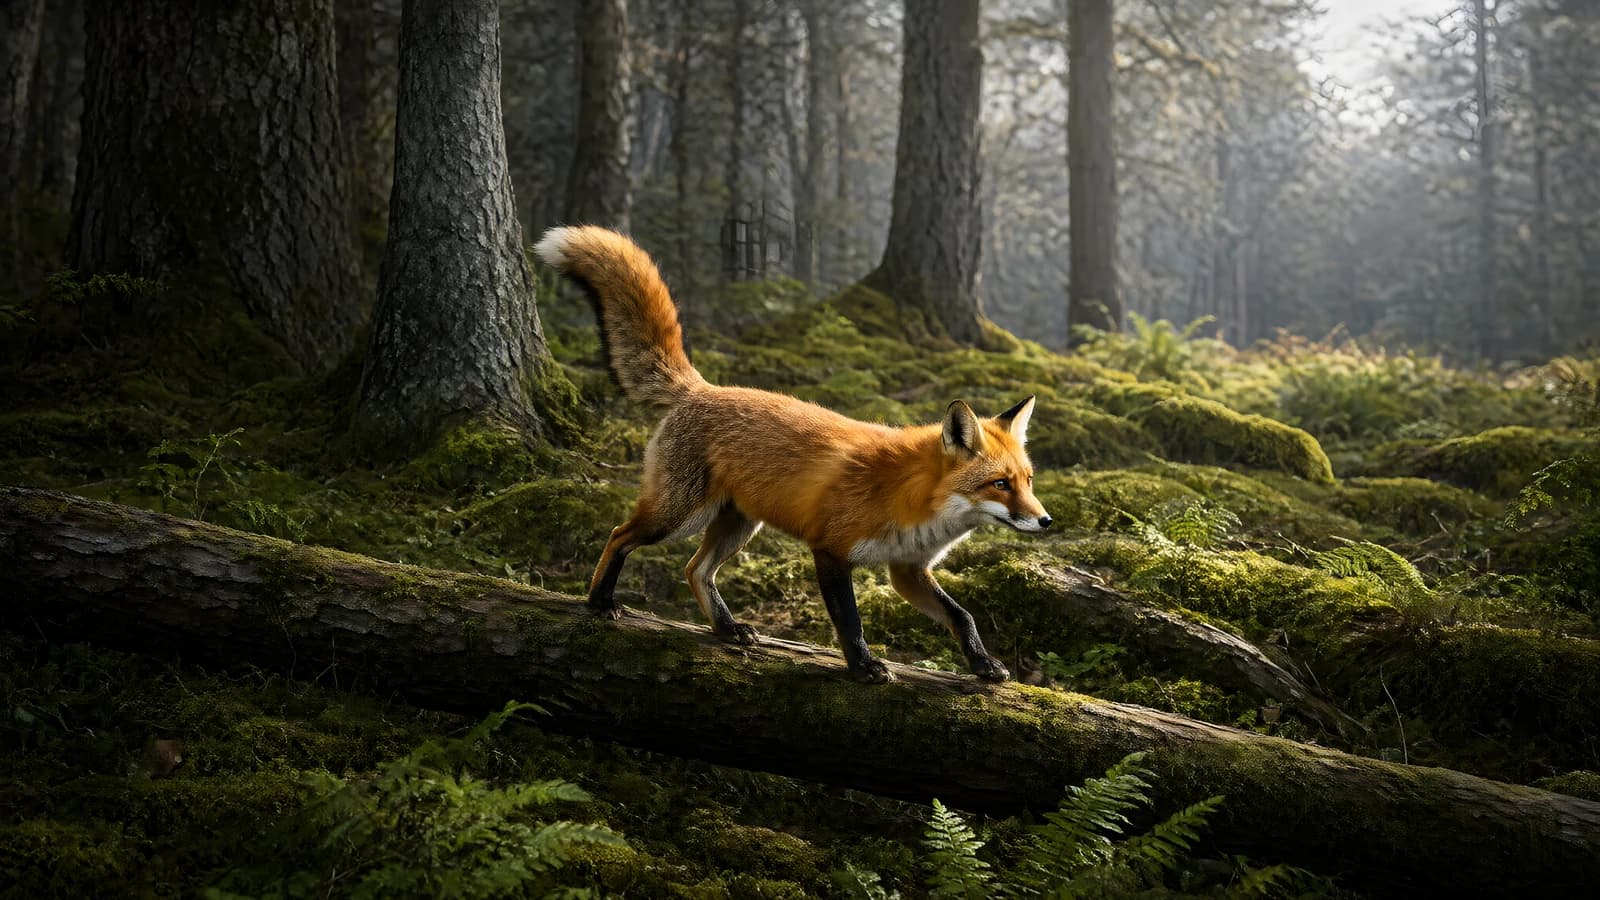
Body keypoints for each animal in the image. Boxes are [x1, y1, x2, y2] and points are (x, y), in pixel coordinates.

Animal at [533, 226, 1052, 684]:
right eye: (999, 484)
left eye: (1028, 481)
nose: (1046, 521)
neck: (917, 500)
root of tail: (700, 389)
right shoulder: (831, 550)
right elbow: (851, 623)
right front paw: (863, 669)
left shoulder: (907, 570)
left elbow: (962, 616)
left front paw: (983, 665)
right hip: (679, 515)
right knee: (620, 535)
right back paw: (600, 601)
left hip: (739, 525)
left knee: (695, 570)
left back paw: (727, 628)